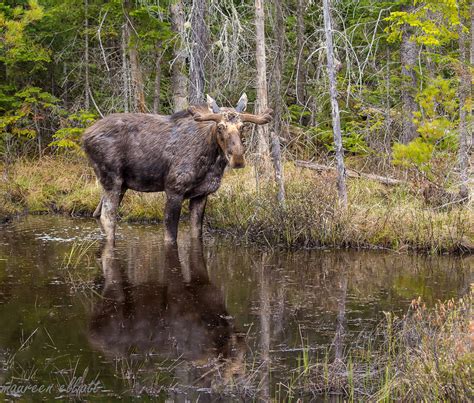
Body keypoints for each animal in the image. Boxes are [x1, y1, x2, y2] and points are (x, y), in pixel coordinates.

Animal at [83, 94, 272, 243]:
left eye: (243, 127)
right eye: (220, 127)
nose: (238, 158)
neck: (212, 164)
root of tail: (84, 136)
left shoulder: (201, 194)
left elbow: (197, 233)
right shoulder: (174, 189)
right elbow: (171, 236)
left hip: (121, 184)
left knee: (97, 213)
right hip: (111, 178)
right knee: (107, 217)